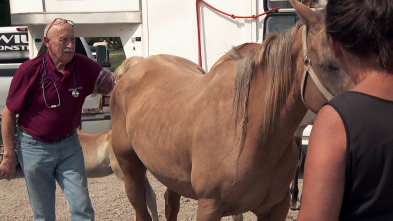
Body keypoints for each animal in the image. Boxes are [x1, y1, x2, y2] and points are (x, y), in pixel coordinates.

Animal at [109, 0, 352, 220]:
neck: (250, 134)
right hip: (131, 169)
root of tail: (134, 67)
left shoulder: (275, 208)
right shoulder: (210, 206)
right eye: (328, 65)